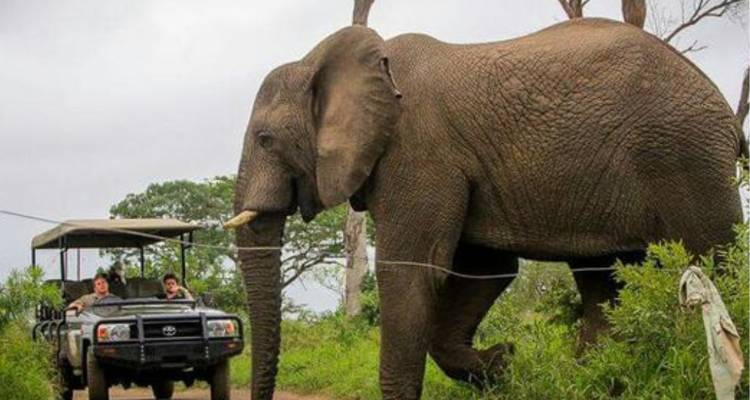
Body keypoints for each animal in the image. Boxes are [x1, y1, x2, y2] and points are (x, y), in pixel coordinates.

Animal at [227, 15, 747, 400]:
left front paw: (501, 362)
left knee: (715, 260)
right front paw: (502, 364)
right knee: (604, 282)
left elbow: (411, 271)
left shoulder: (419, 152)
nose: (507, 352)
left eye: (266, 139)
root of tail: (723, 107)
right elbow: (485, 270)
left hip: (687, 158)